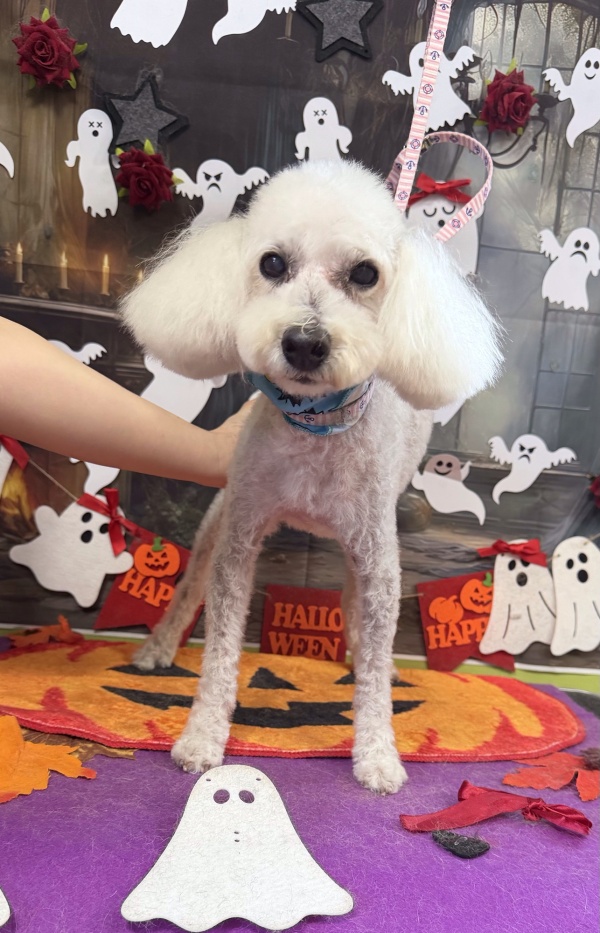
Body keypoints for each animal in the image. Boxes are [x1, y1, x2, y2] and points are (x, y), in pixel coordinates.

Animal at [122, 160, 502, 794]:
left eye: (366, 273)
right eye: (272, 263)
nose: (304, 342)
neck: (315, 430)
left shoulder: (378, 555)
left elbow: (373, 659)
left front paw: (377, 753)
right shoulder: (240, 541)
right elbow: (220, 650)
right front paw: (202, 736)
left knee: (357, 606)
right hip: (220, 513)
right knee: (190, 586)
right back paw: (158, 646)